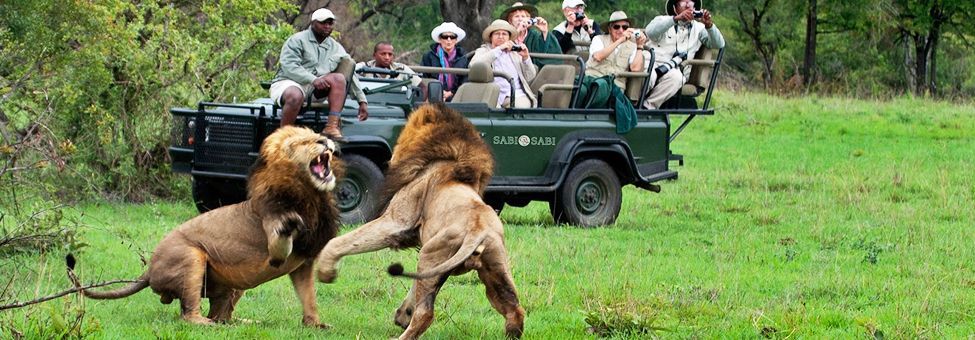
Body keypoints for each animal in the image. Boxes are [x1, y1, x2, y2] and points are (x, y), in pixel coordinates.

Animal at [68, 125, 344, 326]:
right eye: (300, 143)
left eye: (317, 135)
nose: (325, 141)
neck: (312, 196)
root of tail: (149, 269)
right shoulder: (273, 236)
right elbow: (280, 243)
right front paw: (291, 223)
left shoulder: (305, 263)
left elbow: (309, 298)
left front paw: (315, 325)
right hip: (191, 258)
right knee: (188, 315)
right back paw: (207, 324)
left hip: (233, 283)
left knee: (221, 315)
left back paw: (242, 323)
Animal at [316, 103, 524, 340]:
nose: (390, 158)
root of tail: (477, 232)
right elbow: (414, 286)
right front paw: (403, 314)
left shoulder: (395, 222)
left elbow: (339, 241)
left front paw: (325, 271)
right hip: (493, 266)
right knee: (515, 309)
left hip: (431, 254)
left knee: (426, 313)